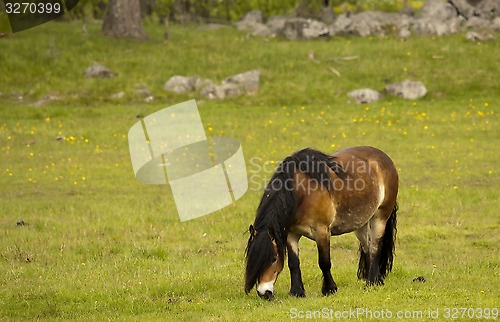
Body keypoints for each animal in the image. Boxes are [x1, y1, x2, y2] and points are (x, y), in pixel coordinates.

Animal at [243, 146, 398, 300]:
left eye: (274, 258)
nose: (264, 293)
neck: (302, 193)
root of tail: (385, 158)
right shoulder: (291, 234)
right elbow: (293, 263)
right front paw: (297, 291)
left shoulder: (322, 231)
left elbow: (324, 262)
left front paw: (330, 289)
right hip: (361, 223)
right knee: (367, 247)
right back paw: (376, 279)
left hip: (380, 218)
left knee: (375, 248)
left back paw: (371, 282)